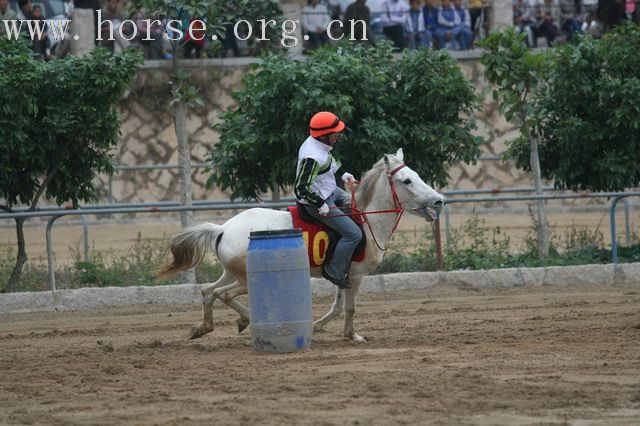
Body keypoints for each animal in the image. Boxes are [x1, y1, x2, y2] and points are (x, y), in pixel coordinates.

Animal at [160, 148, 444, 342]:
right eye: (407, 180)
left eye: (417, 175)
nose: (439, 200)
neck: (365, 219)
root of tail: (223, 229)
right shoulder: (356, 275)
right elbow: (349, 308)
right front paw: (352, 335)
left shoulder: (342, 275)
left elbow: (338, 307)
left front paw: (319, 327)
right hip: (243, 279)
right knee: (222, 294)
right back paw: (243, 320)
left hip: (231, 273)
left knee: (208, 291)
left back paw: (203, 327)